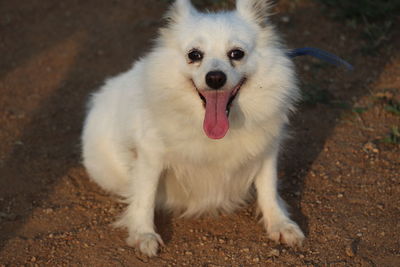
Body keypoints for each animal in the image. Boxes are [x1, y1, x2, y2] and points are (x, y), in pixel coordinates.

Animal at [83, 0, 304, 256]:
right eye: (194, 55)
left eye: (236, 54)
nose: (215, 78)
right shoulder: (150, 156)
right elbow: (145, 196)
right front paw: (143, 234)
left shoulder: (267, 151)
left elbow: (269, 189)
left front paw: (281, 225)